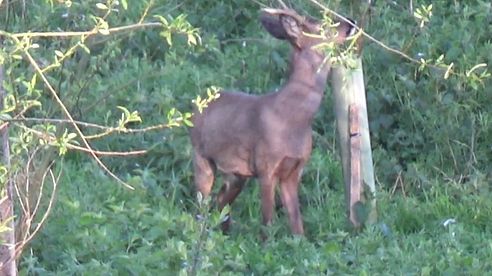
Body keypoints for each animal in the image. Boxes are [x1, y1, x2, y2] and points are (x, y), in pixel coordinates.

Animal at [188, 7, 354, 235]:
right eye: (323, 27)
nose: (350, 23)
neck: (292, 118)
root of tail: (194, 107)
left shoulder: (294, 170)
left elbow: (297, 223)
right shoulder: (266, 166)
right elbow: (268, 221)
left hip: (236, 173)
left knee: (221, 202)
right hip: (201, 157)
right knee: (201, 206)